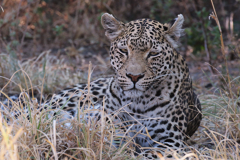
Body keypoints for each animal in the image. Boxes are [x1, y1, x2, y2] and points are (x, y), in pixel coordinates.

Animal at [0, 13, 202, 159]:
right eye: (123, 51)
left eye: (153, 54)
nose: (134, 76)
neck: (138, 103)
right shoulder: (112, 131)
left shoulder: (171, 142)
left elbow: (148, 154)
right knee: (24, 117)